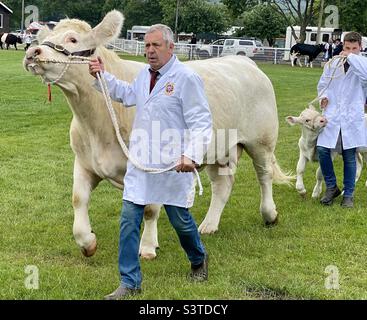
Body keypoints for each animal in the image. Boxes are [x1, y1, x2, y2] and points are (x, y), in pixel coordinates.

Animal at [23, 11, 294, 258]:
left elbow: (150, 209)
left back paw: (269, 214)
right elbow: (78, 199)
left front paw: (147, 246)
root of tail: (246, 63)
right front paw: (87, 242)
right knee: (222, 185)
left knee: (264, 176)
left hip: (262, 140)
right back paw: (209, 225)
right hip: (220, 150)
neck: (97, 123)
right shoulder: (84, 162)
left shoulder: (151, 166)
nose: (32, 53)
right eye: (46, 37)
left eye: (72, 39)